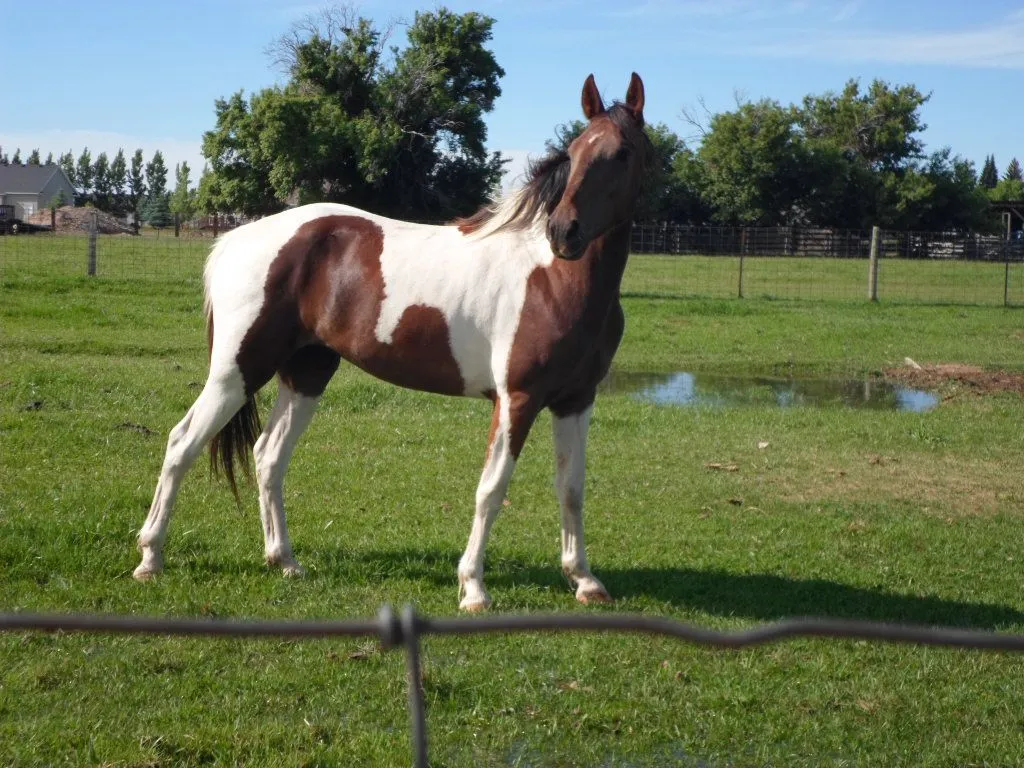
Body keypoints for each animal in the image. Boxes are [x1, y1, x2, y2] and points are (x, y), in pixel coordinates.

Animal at [134, 72, 651, 611]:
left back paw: (284, 561)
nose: (564, 232)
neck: (553, 278)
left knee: (268, 455)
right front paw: (473, 587)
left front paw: (585, 580)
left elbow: (572, 488)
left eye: (623, 153)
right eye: (574, 151)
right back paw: (150, 558)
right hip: (237, 371)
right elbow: (492, 488)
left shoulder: (576, 400)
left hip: (307, 373)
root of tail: (235, 240)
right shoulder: (517, 400)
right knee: (182, 443)